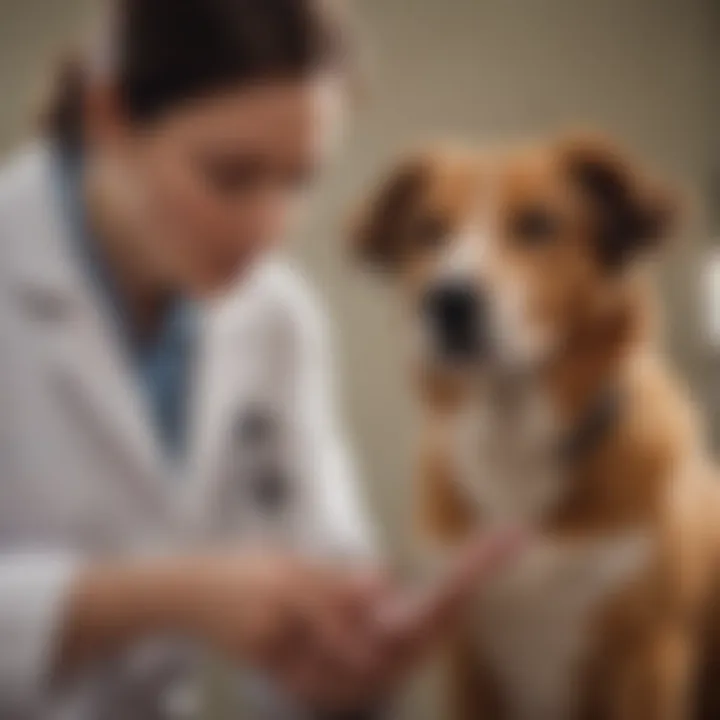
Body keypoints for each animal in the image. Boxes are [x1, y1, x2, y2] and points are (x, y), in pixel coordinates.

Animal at [352, 134, 720, 716]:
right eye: (428, 231)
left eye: (538, 224)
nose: (448, 299)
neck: (514, 441)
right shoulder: (467, 664)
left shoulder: (650, 658)